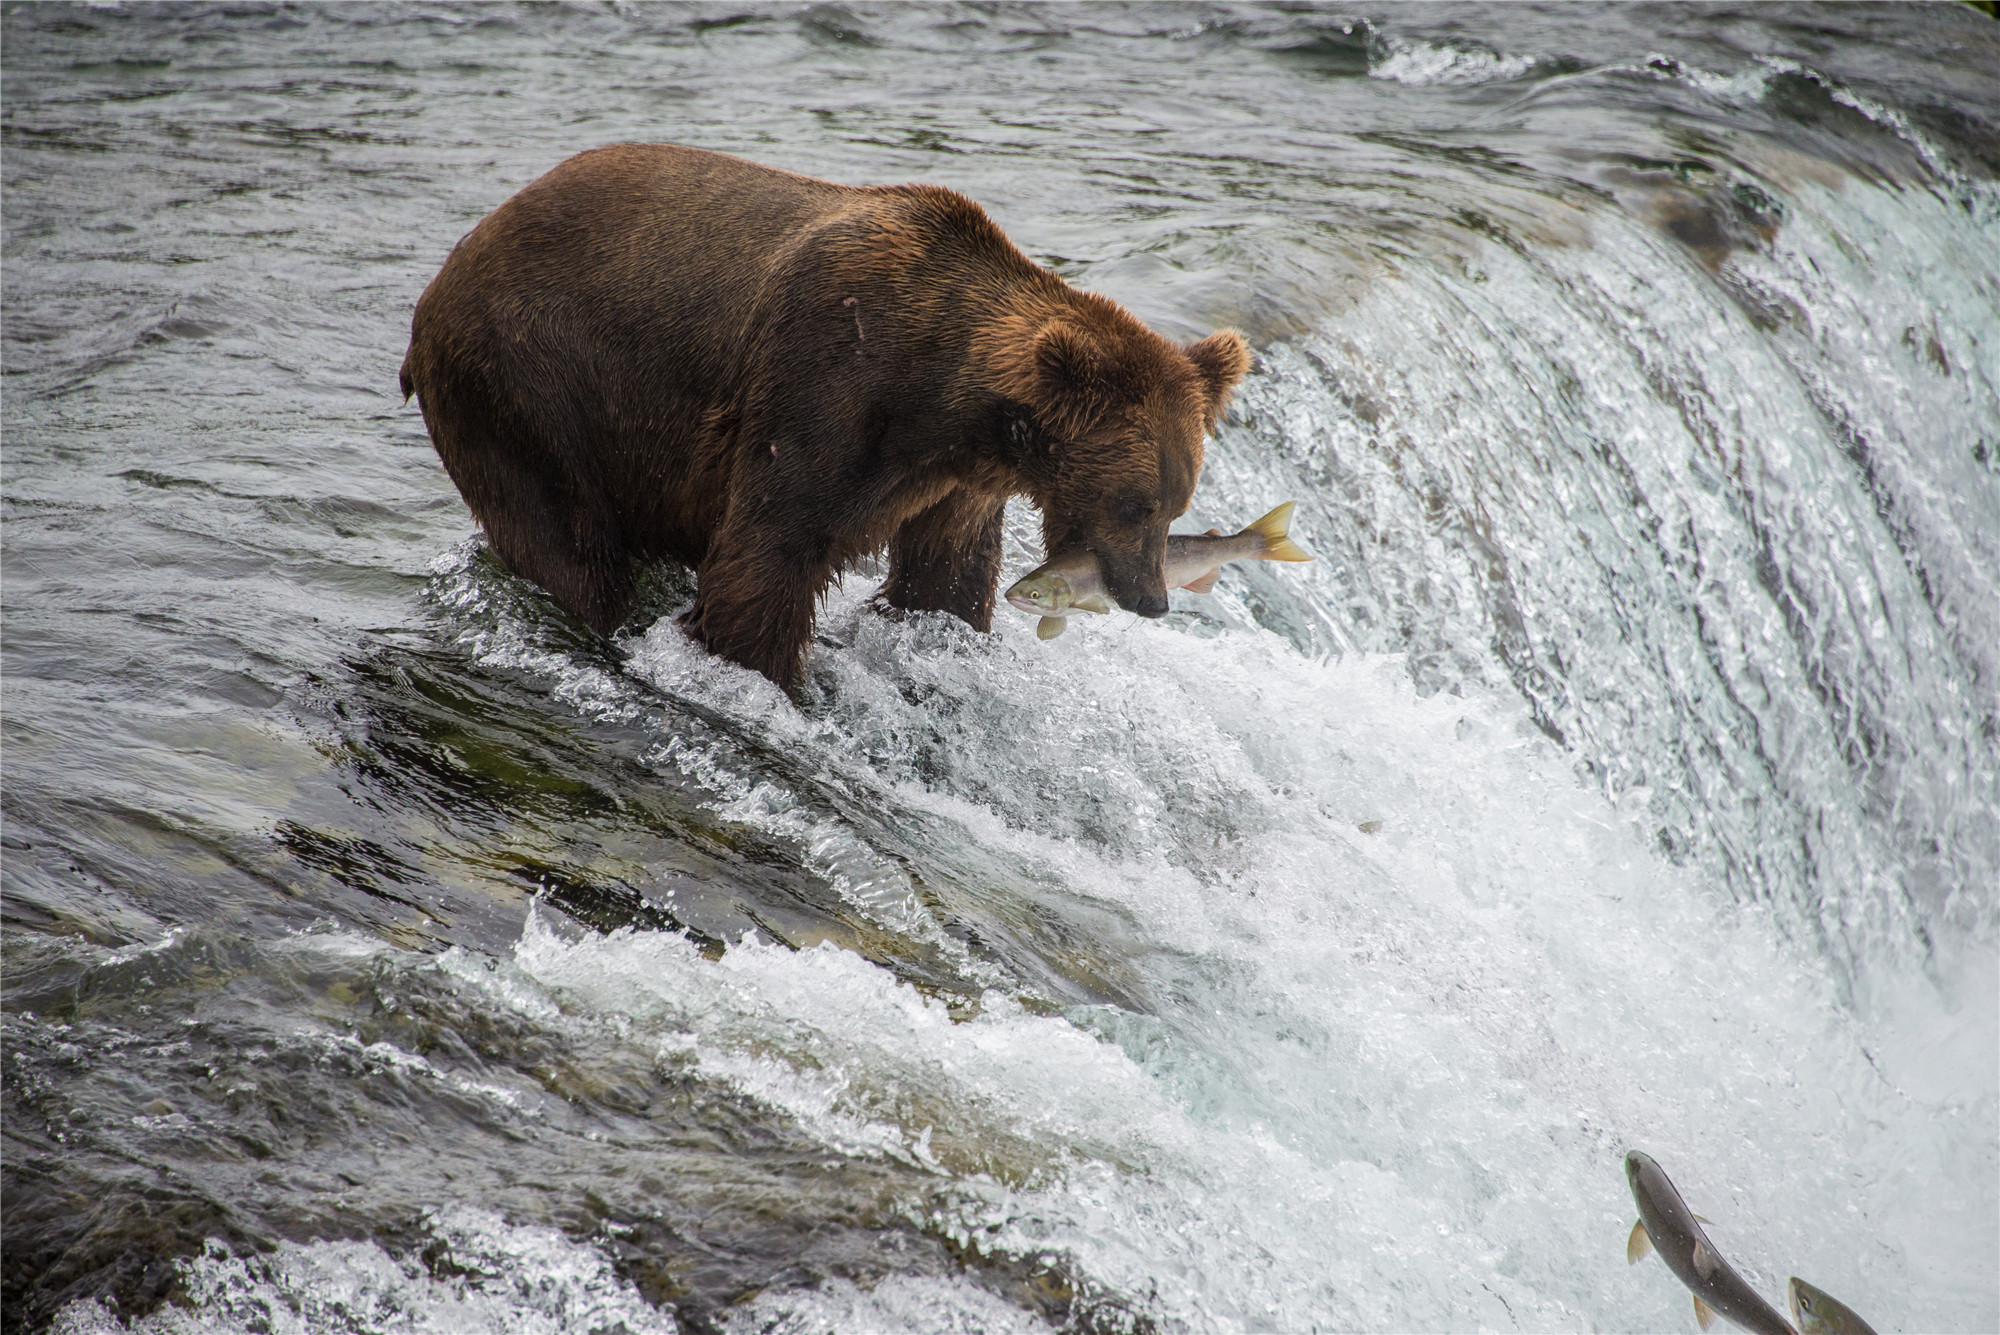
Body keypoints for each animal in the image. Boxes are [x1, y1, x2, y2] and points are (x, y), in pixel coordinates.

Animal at [396, 143, 1240, 687]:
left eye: (1175, 503)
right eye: (1135, 503)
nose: (1152, 598)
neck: (947, 399)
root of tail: (438, 287)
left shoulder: (959, 480)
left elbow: (947, 575)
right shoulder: (826, 382)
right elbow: (766, 555)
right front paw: (767, 675)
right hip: (529, 385)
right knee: (568, 544)